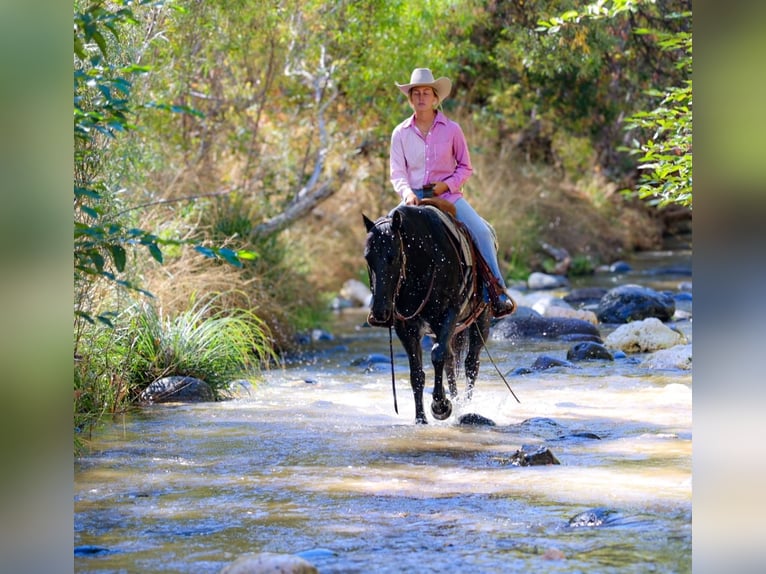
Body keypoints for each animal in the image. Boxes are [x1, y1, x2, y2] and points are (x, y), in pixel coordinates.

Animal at [364, 205, 496, 426]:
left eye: (394, 256)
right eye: (368, 258)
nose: (380, 312)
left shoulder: (449, 314)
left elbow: (437, 355)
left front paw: (440, 406)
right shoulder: (406, 328)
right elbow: (417, 373)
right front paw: (421, 418)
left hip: (480, 320)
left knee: (471, 363)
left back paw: (464, 407)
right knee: (451, 361)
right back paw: (456, 403)